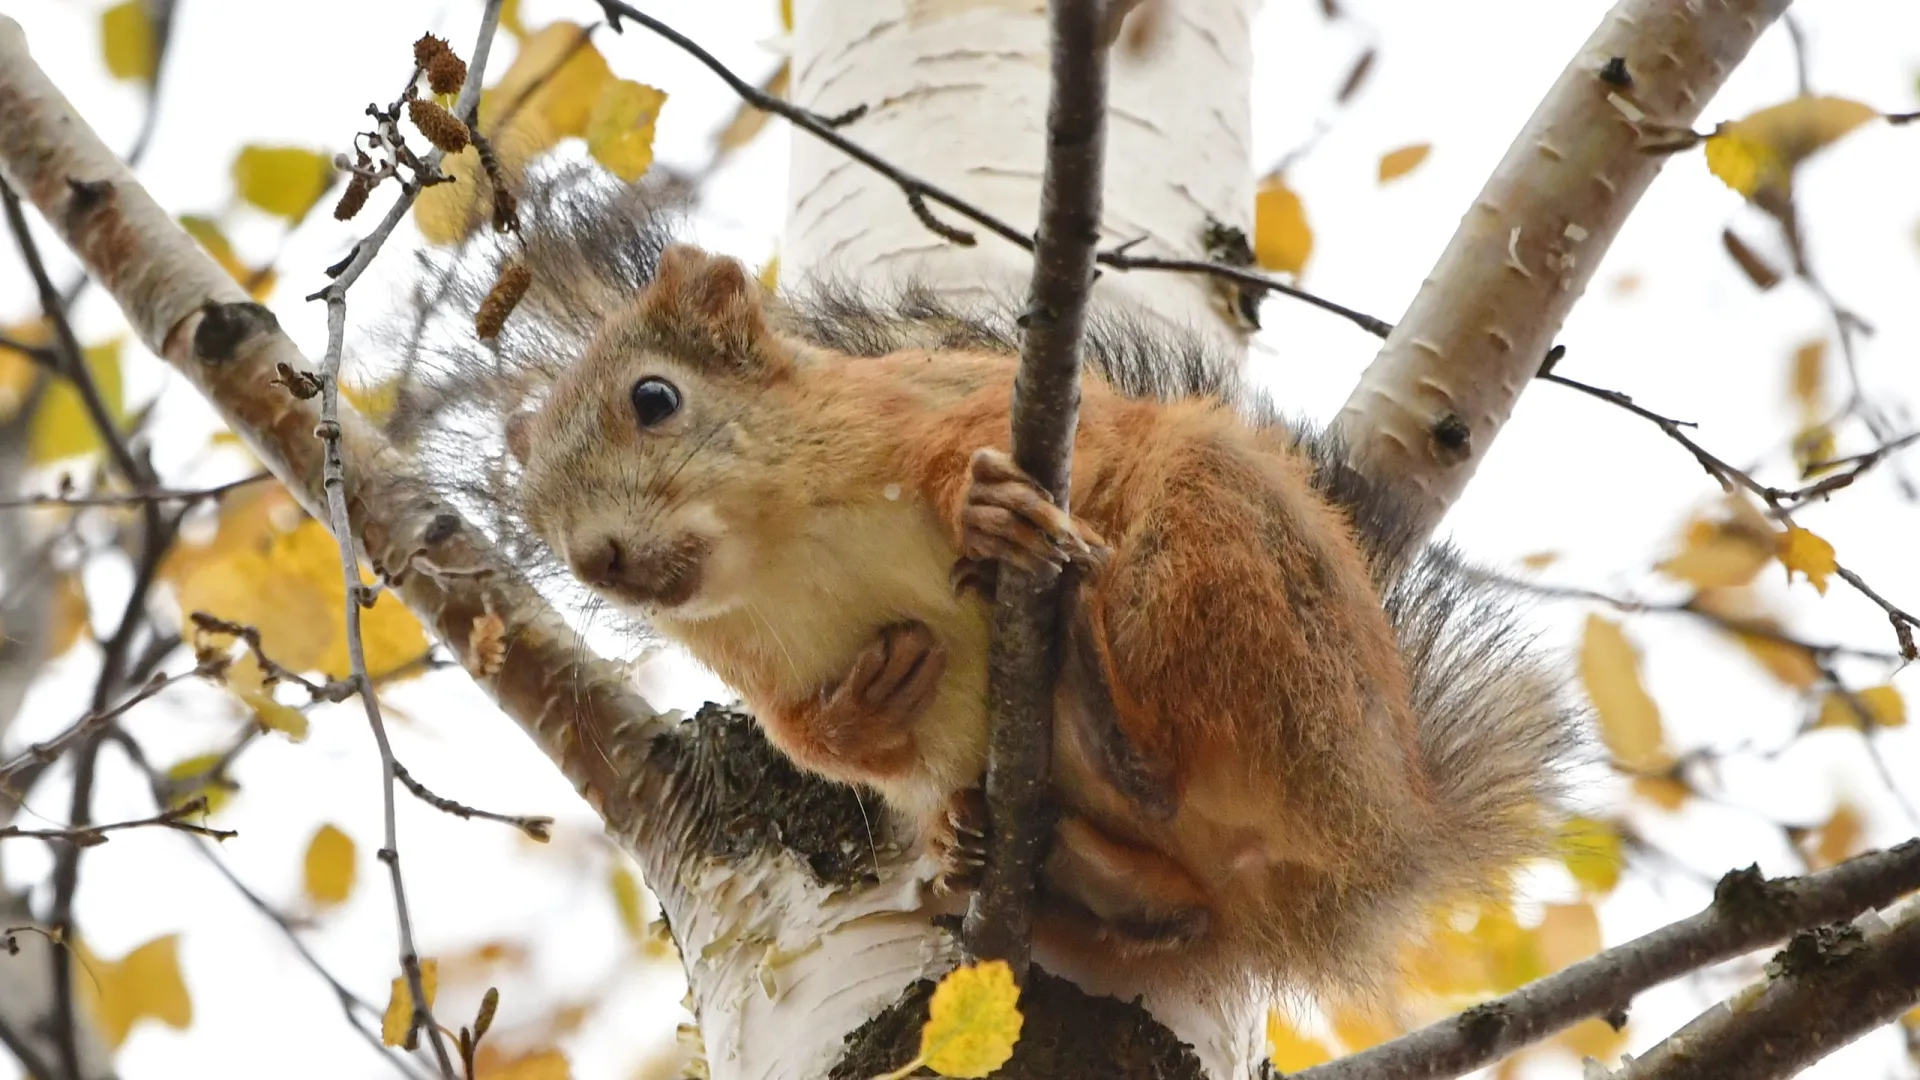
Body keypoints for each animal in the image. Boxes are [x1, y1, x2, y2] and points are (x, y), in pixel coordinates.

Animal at [397, 170, 1582, 999]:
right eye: (535, 506)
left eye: (654, 398)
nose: (597, 559)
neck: (778, 552)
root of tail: (1387, 828)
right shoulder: (759, 669)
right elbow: (812, 737)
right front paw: (862, 708)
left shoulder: (953, 406)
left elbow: (1073, 451)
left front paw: (990, 512)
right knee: (1182, 912)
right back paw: (1008, 857)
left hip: (1222, 566)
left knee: (1163, 751)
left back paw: (1094, 685)